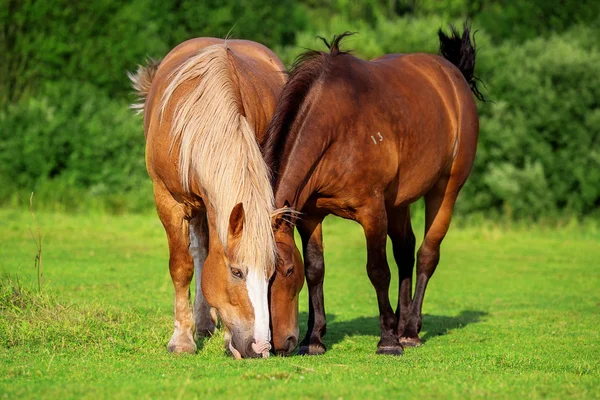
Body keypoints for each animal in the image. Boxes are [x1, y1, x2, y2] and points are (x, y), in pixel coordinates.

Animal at [129, 38, 296, 360]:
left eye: (271, 274)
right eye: (236, 271)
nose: (259, 348)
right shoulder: (169, 200)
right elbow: (182, 266)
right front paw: (182, 339)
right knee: (198, 252)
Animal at [268, 25, 482, 354]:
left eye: (289, 271)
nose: (281, 344)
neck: (336, 126)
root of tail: (453, 74)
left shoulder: (372, 212)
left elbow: (378, 270)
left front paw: (388, 340)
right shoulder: (310, 215)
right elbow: (316, 269)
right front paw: (314, 339)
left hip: (445, 190)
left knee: (426, 254)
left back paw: (410, 330)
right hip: (399, 202)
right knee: (405, 250)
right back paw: (403, 323)